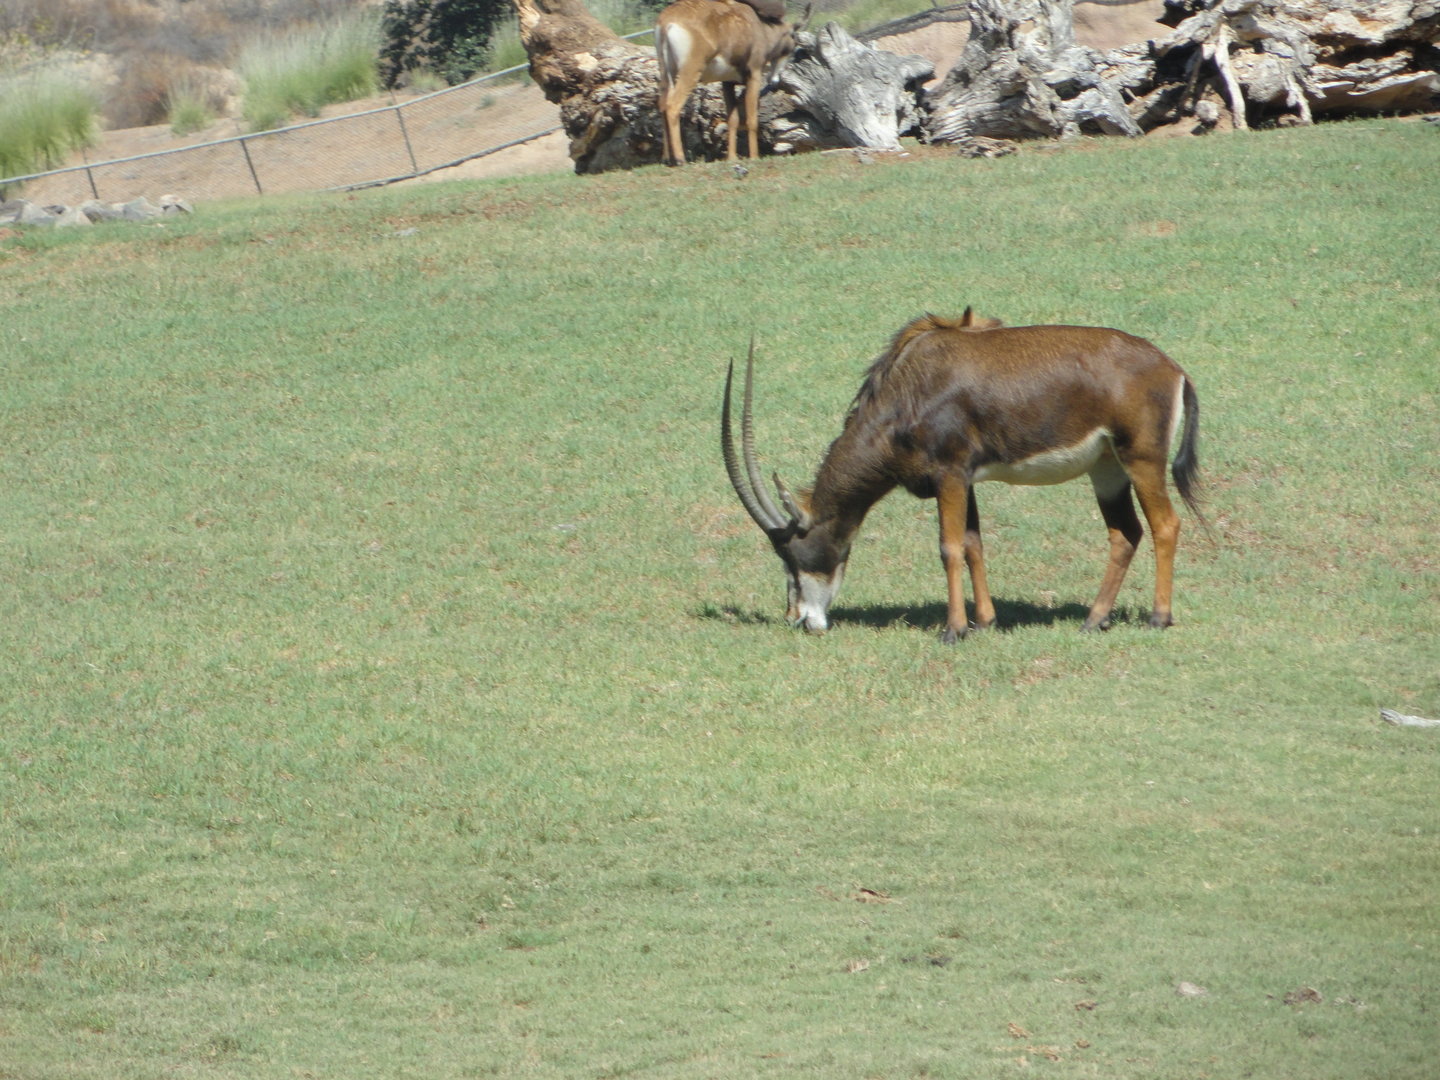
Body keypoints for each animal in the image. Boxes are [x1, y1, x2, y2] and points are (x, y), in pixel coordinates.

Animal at [655, 0, 809, 166]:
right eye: (793, 39)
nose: (774, 80)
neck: (760, 24)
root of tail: (668, 21)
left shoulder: (727, 82)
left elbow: (732, 119)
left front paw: (732, 157)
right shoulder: (754, 76)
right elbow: (752, 119)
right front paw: (754, 156)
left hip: (666, 74)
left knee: (663, 105)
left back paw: (666, 158)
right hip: (690, 72)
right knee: (673, 105)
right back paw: (680, 159)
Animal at [722, 309, 1204, 643]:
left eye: (794, 554)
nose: (801, 620)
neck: (910, 387)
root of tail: (1174, 369)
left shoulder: (949, 473)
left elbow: (949, 548)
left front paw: (953, 630)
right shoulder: (965, 479)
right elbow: (973, 544)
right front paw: (985, 622)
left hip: (1141, 459)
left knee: (1165, 525)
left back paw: (1158, 618)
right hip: (1106, 469)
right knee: (1125, 534)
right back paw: (1093, 620)